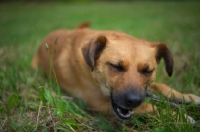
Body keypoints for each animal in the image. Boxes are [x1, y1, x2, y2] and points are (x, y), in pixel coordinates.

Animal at [31, 22, 200, 122]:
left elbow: (161, 86)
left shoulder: (145, 89)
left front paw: (188, 97)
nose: (134, 100)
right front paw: (179, 117)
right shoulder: (98, 104)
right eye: (116, 66)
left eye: (147, 70)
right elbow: (149, 107)